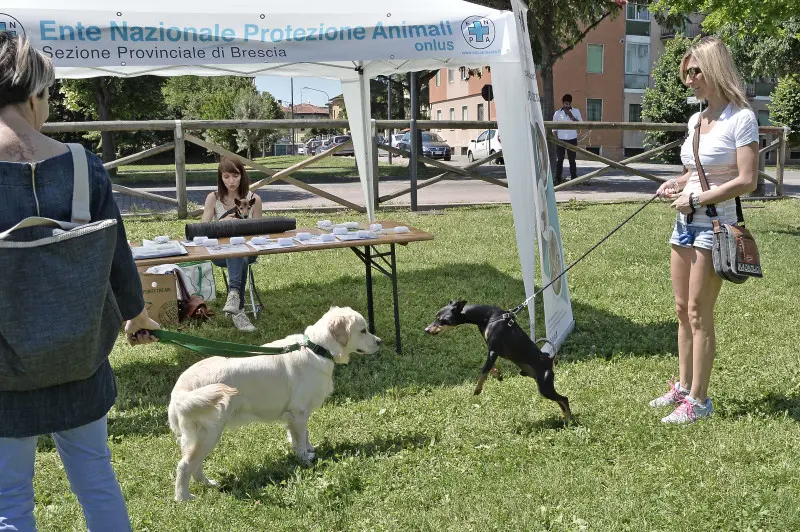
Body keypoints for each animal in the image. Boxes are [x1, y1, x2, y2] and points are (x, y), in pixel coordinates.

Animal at [168, 306, 382, 500]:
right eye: (363, 330)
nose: (380, 342)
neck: (317, 349)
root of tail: (179, 391)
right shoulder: (298, 412)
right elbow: (300, 439)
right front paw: (305, 459)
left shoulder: (298, 413)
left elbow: (303, 436)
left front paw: (308, 449)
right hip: (208, 434)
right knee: (184, 466)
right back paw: (183, 498)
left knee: (195, 466)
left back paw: (208, 484)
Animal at [424, 300, 568, 420]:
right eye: (436, 317)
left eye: (443, 320)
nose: (426, 330)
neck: (488, 317)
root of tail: (549, 359)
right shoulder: (492, 351)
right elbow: (489, 367)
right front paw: (498, 375)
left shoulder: (494, 350)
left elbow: (484, 369)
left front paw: (478, 388)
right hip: (542, 386)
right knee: (561, 402)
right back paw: (565, 419)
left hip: (544, 387)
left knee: (564, 399)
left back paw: (569, 421)